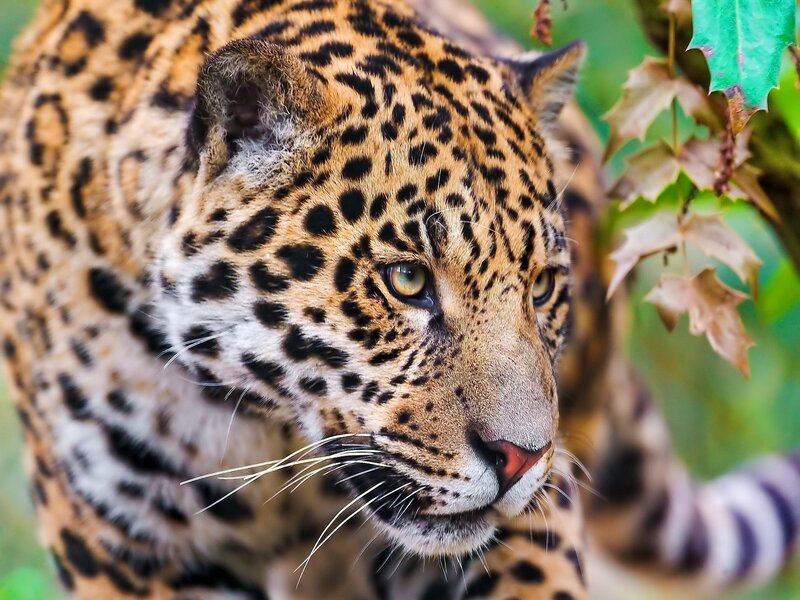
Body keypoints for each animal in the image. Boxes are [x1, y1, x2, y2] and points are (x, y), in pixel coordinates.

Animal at [0, 0, 798, 599]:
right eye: (407, 281)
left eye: (541, 287)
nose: (522, 458)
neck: (265, 431)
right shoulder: (124, 550)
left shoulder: (534, 521)